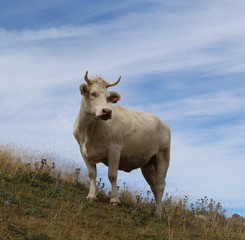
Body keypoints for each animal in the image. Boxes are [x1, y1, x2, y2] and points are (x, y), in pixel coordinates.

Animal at [73, 71, 171, 216]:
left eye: (108, 97)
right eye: (93, 93)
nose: (107, 111)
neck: (90, 132)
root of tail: (162, 122)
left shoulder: (114, 149)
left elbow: (112, 175)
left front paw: (115, 200)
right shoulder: (83, 150)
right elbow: (92, 174)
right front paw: (91, 196)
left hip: (163, 155)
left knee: (160, 185)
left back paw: (159, 213)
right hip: (147, 164)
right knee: (153, 185)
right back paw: (159, 210)